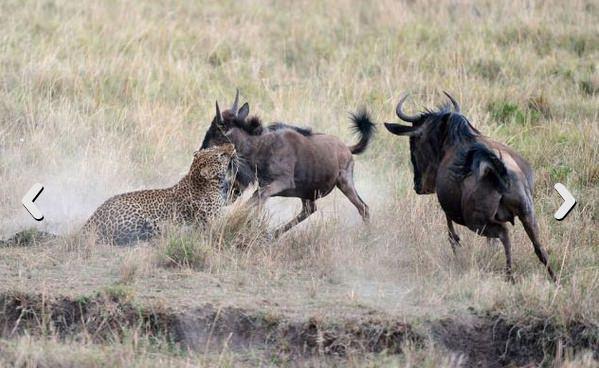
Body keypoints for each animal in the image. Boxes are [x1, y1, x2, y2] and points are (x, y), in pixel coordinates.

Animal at [82, 144, 237, 244]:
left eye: (216, 148)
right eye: (220, 155)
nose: (232, 145)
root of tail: (92, 218)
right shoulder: (213, 220)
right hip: (135, 214)